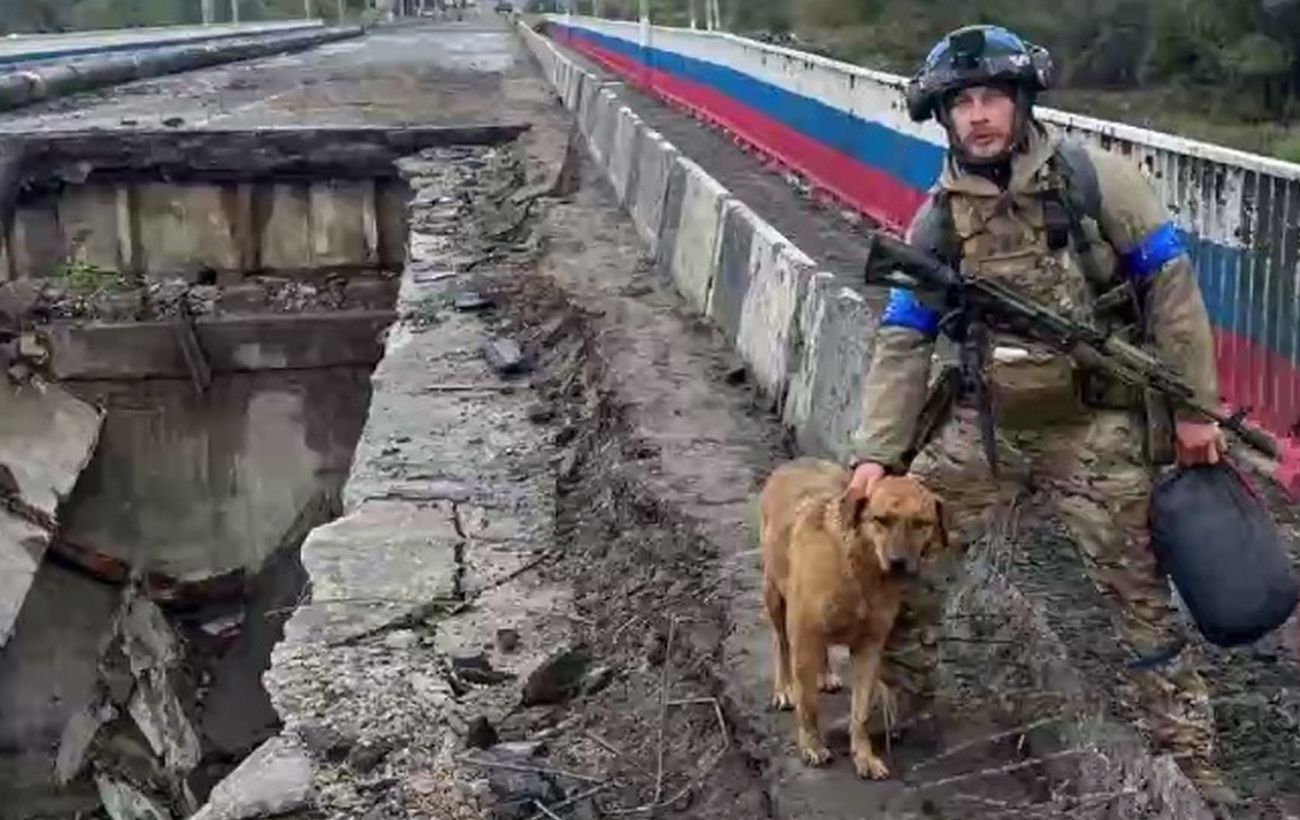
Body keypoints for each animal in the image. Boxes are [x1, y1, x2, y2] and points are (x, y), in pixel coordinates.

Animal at [759, 460, 946, 779]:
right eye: (881, 520)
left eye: (922, 523)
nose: (898, 563)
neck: (863, 571)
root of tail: (794, 462)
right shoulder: (804, 639)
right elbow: (808, 705)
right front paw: (812, 745)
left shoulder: (869, 648)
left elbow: (860, 712)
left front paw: (864, 755)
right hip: (774, 592)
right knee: (779, 642)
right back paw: (783, 687)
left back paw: (825, 674)